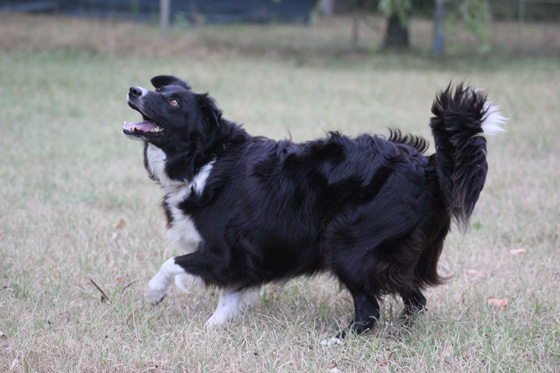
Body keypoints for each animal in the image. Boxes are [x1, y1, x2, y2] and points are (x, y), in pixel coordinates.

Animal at [123, 75, 508, 338]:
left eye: (174, 103)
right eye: (161, 91)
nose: (133, 90)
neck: (207, 158)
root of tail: (427, 166)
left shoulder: (225, 252)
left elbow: (173, 263)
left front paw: (154, 294)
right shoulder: (248, 255)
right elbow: (231, 295)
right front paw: (213, 326)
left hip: (347, 243)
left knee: (370, 308)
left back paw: (340, 339)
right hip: (393, 255)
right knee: (415, 298)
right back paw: (401, 331)